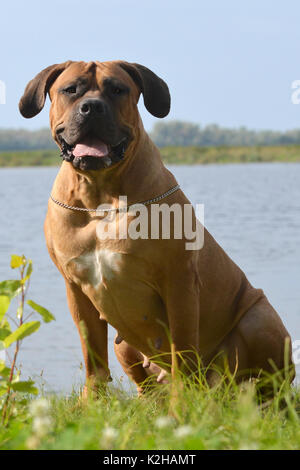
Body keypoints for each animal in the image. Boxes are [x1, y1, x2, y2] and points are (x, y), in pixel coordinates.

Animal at [19, 59, 296, 396]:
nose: (92, 107)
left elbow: (183, 352)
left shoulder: (178, 282)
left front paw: (182, 405)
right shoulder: (76, 290)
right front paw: (92, 401)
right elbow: (93, 359)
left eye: (117, 89)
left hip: (259, 319)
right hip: (123, 345)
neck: (99, 196)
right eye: (71, 90)